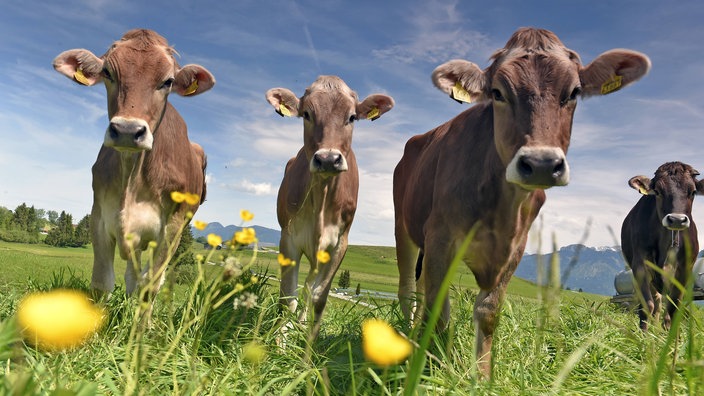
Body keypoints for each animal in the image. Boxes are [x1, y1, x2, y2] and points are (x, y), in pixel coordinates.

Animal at [53, 29, 214, 310]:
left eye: (168, 81)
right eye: (108, 72)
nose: (128, 130)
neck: (132, 176)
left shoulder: (172, 227)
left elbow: (151, 285)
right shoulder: (99, 214)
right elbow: (102, 282)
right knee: (131, 275)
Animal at [266, 75, 394, 338]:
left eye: (352, 117)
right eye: (306, 114)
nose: (327, 159)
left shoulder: (339, 244)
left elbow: (318, 298)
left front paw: (309, 346)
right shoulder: (288, 237)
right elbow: (287, 297)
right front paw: (280, 339)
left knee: (309, 288)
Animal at [390, 27, 648, 378]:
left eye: (574, 92)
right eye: (498, 92)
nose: (541, 164)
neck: (501, 206)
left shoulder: (516, 246)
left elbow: (487, 312)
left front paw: (481, 377)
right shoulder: (441, 236)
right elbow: (438, 308)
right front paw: (435, 368)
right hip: (404, 228)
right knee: (408, 290)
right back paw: (407, 336)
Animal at [620, 161, 704, 332]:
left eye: (693, 192)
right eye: (658, 191)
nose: (677, 220)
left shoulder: (684, 269)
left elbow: (674, 308)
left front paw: (672, 337)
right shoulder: (640, 264)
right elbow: (647, 305)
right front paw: (644, 337)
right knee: (657, 303)